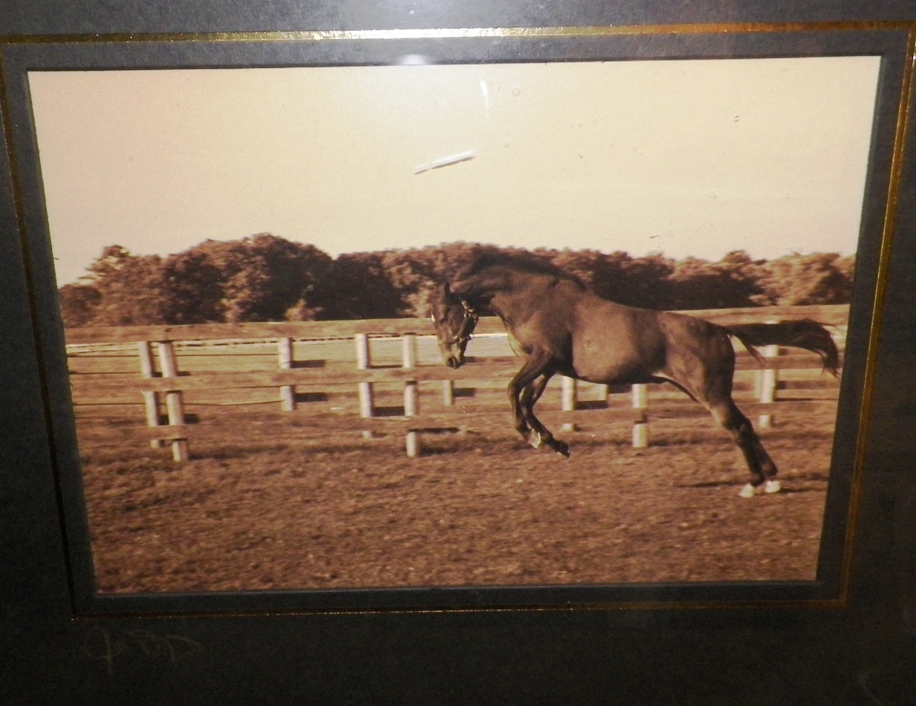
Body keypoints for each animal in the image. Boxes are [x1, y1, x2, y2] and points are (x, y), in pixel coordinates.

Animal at [429, 252, 839, 498]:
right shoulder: (548, 367)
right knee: (746, 425)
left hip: (709, 393)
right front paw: (553, 442)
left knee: (738, 428)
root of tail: (717, 329)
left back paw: (754, 484)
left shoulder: (544, 359)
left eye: (445, 313)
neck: (533, 301)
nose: (450, 359)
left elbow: (512, 391)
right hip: (706, 392)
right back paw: (771, 480)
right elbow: (527, 401)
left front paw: (532, 438)